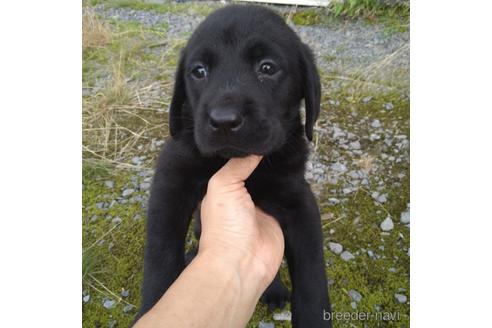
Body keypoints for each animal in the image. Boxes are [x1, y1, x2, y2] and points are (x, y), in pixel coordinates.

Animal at [137, 5, 330, 328]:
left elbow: (313, 272)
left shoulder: (298, 198)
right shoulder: (172, 181)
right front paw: (154, 303)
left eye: (267, 68)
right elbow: (160, 253)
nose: (224, 120)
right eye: (199, 71)